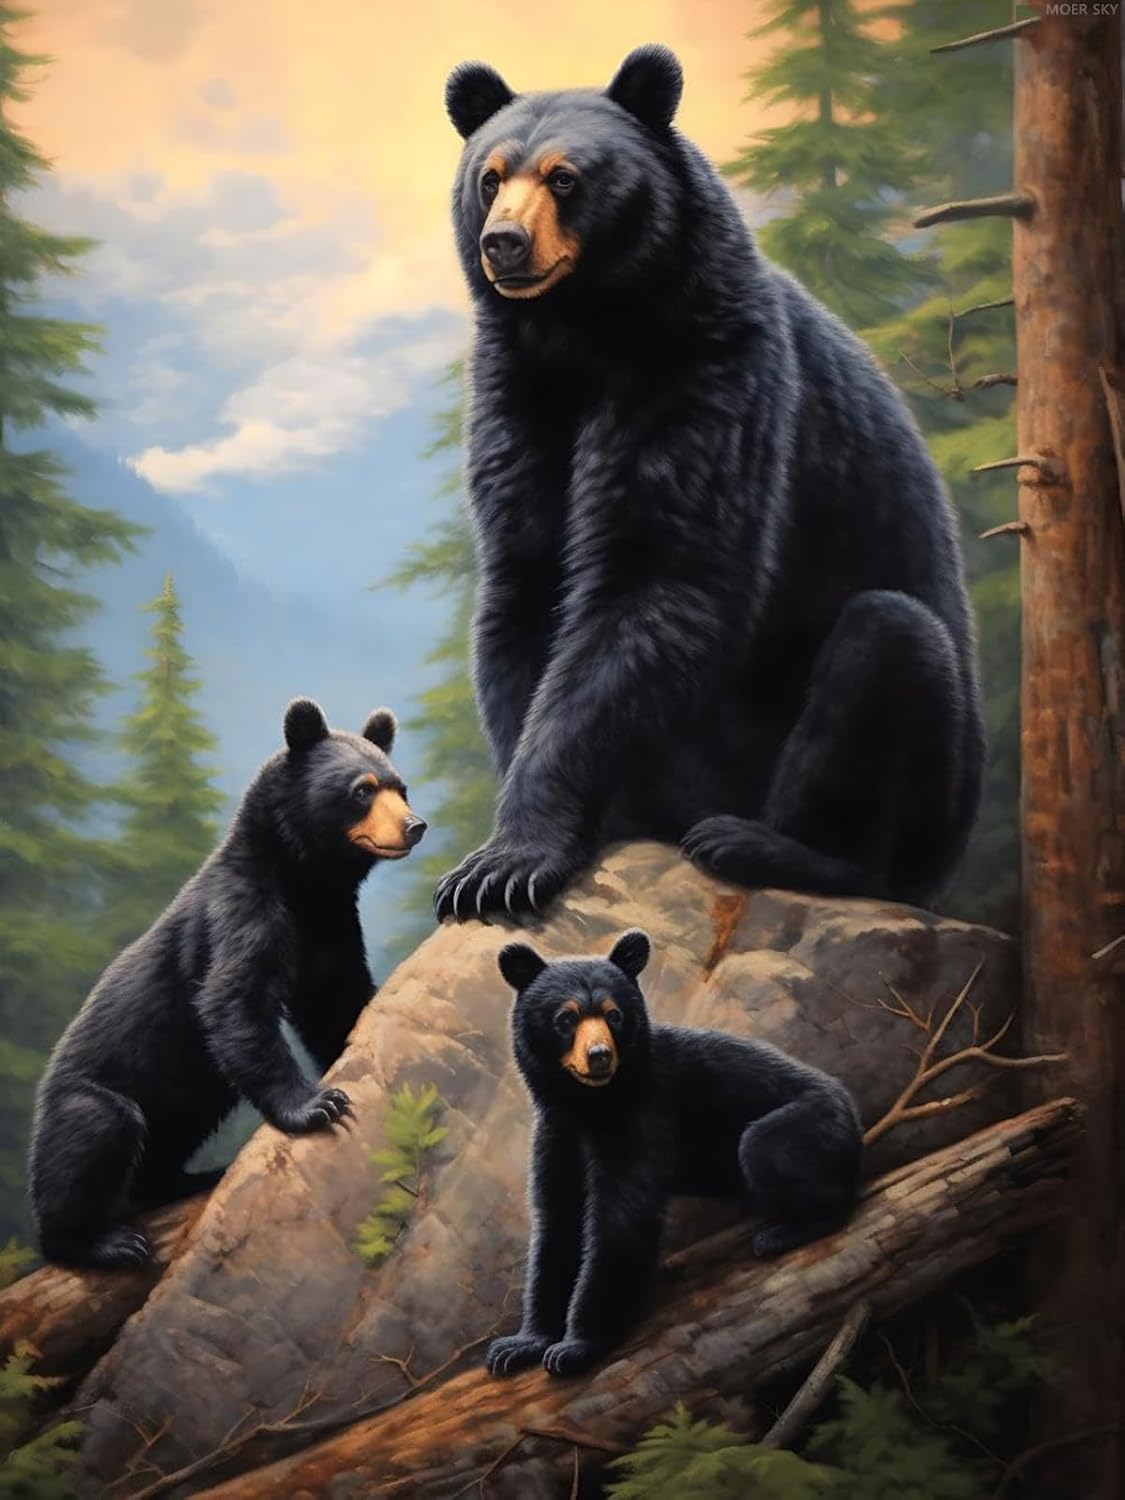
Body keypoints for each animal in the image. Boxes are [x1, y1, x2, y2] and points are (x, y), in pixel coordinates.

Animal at [28, 698, 427, 1269]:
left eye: (402, 787)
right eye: (362, 789)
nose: (415, 826)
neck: (304, 881)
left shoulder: (331, 925)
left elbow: (335, 997)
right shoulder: (238, 909)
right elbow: (234, 998)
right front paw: (316, 1105)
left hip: (188, 1103)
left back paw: (188, 1179)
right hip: (89, 1095)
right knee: (95, 1134)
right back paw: (98, 1241)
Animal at [434, 43, 985, 923]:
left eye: (565, 177)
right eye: (489, 177)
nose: (504, 245)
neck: (584, 332)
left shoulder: (708, 372)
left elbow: (661, 576)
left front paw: (508, 860)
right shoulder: (518, 400)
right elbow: (525, 585)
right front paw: (512, 847)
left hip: (919, 771)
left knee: (891, 645)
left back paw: (767, 845)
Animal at [486, 929, 862, 1379]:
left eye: (614, 1015)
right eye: (566, 1018)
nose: (599, 1056)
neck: (589, 1105)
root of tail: (851, 1110)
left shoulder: (644, 1113)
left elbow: (622, 1218)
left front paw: (577, 1346)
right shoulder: (557, 1133)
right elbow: (557, 1221)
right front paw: (521, 1343)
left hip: (805, 1124)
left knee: (771, 1151)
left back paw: (785, 1231)